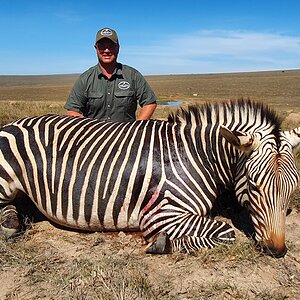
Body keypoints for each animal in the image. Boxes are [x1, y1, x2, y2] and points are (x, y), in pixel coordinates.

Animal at [0, 99, 298, 258]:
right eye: (254, 185)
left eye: (292, 189)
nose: (277, 250)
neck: (198, 155)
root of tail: (10, 123)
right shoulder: (161, 213)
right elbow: (225, 232)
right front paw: (163, 243)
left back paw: (12, 223)